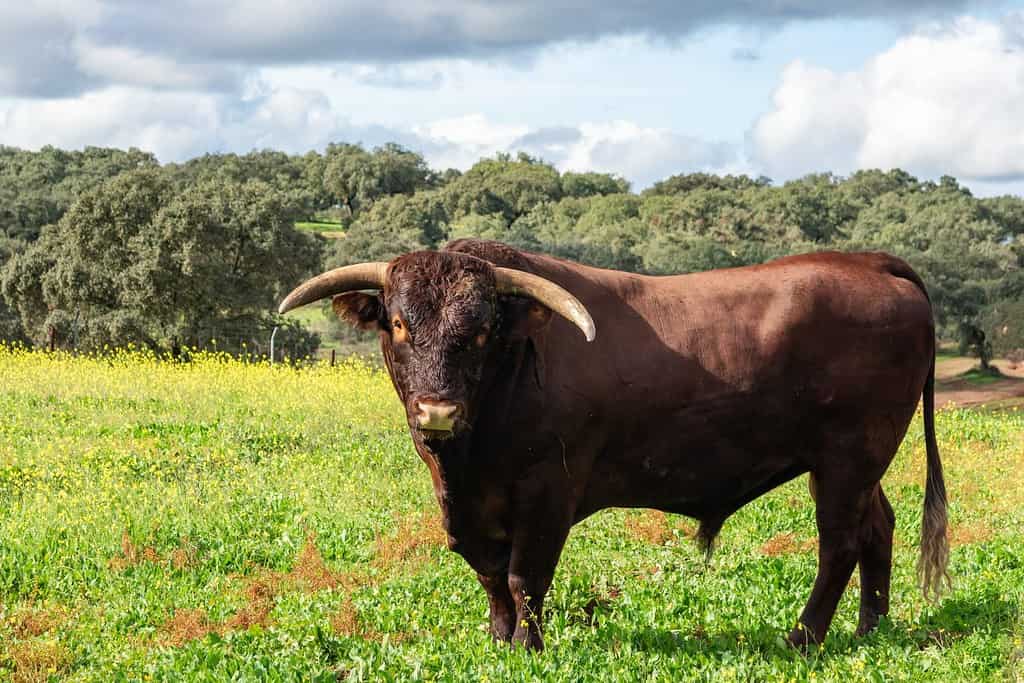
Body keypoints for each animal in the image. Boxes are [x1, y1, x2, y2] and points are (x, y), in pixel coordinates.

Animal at [276, 239, 946, 651]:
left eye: (483, 330)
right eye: (398, 324)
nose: (437, 411)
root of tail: (868, 262)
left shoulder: (549, 493)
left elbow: (524, 577)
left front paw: (528, 647)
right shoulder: (467, 504)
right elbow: (490, 575)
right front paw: (498, 639)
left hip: (848, 458)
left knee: (839, 544)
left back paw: (804, 638)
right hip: (859, 464)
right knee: (877, 526)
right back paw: (868, 628)